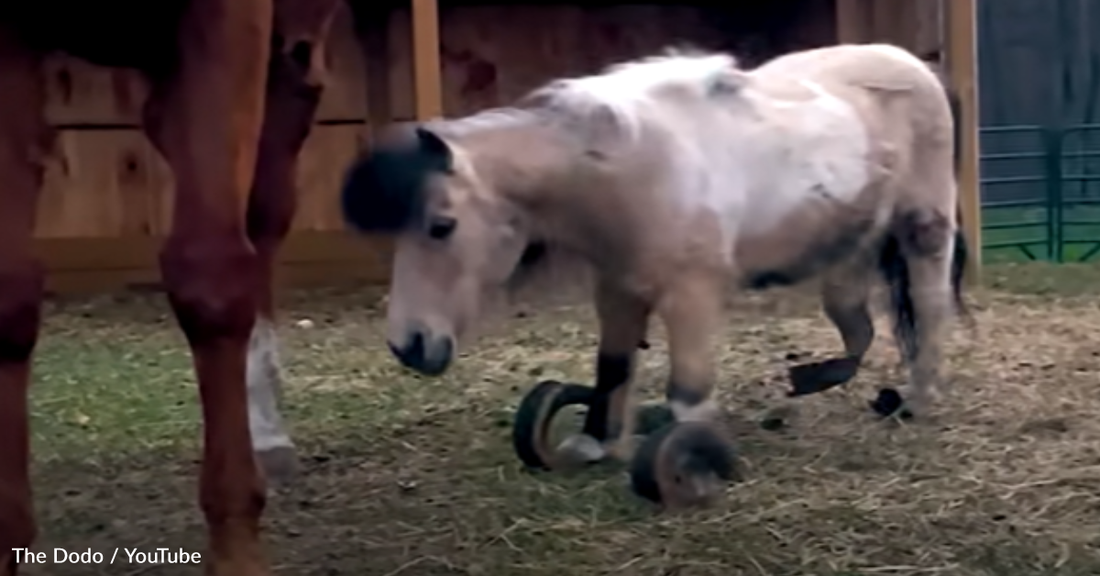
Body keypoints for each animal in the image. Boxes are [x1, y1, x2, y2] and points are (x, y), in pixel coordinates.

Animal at [340, 42, 969, 509]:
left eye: (441, 225)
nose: (409, 346)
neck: (636, 167)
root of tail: (917, 65)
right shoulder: (617, 289)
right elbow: (612, 368)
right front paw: (593, 442)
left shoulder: (691, 295)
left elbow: (688, 394)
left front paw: (692, 464)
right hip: (852, 247)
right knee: (857, 322)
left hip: (925, 228)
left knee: (929, 308)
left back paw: (918, 399)